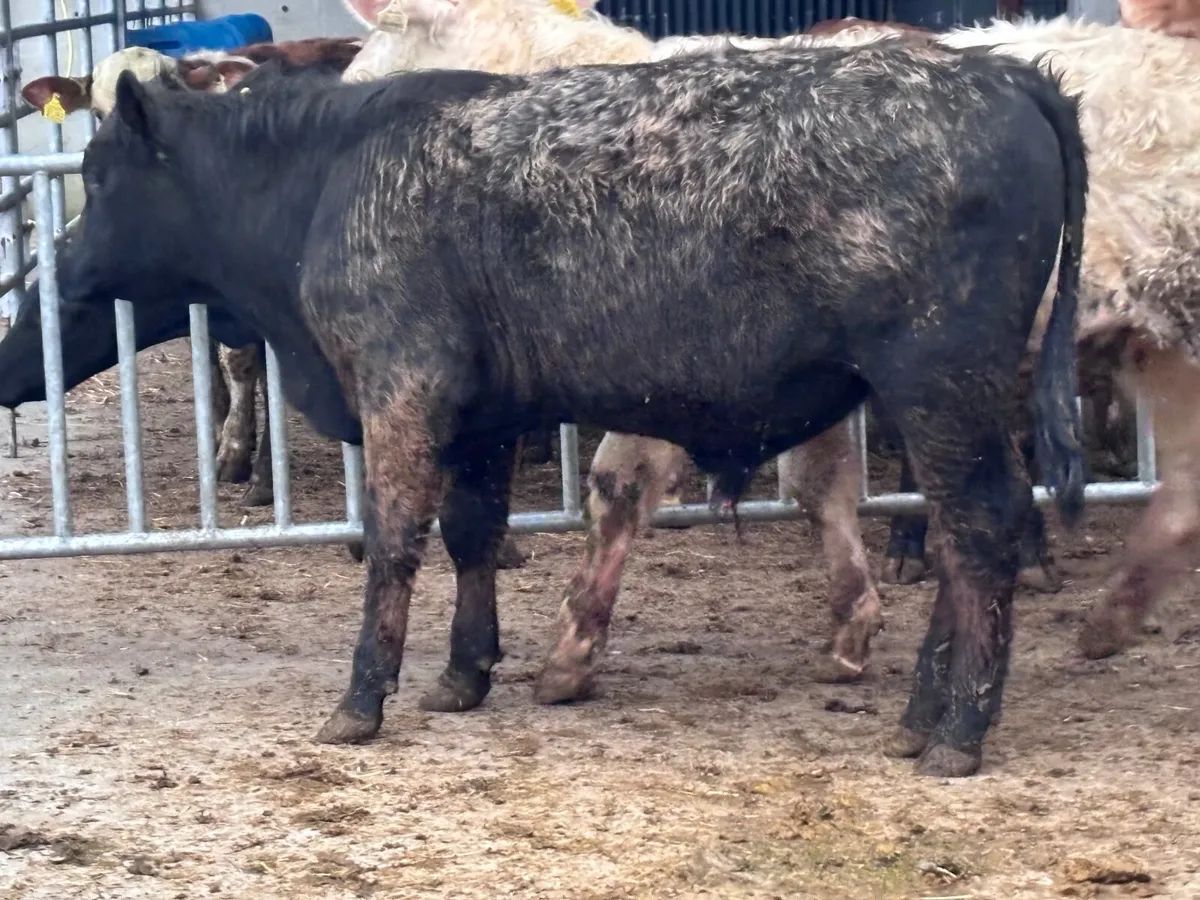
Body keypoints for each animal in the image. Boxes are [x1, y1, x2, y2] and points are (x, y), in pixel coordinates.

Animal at [53, 38, 1086, 776]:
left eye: (98, 176)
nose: (62, 265)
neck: (326, 178)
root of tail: (1001, 73)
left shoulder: (400, 388)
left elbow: (393, 542)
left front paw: (362, 699)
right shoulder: (481, 417)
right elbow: (470, 534)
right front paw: (463, 673)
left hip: (938, 383)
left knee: (981, 531)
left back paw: (957, 729)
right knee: (965, 533)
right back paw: (922, 716)